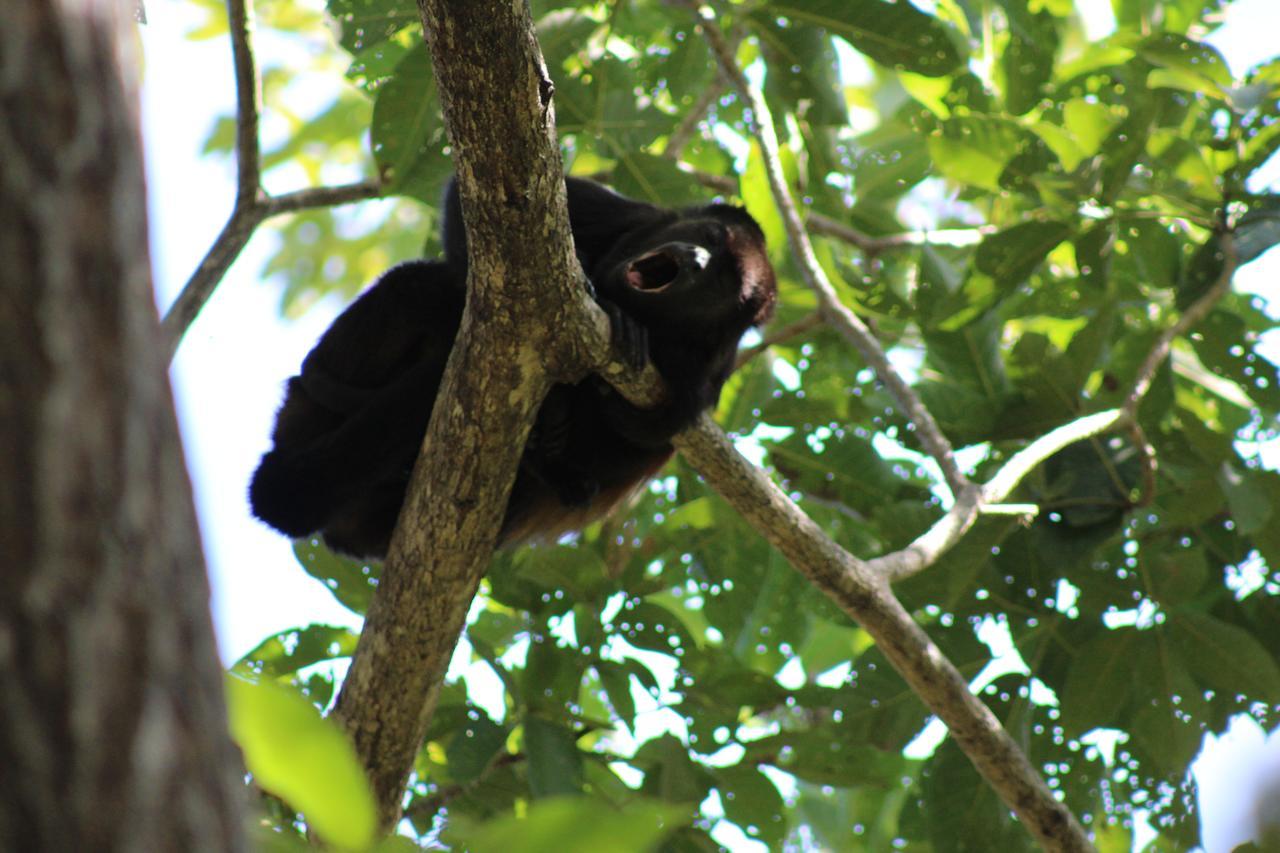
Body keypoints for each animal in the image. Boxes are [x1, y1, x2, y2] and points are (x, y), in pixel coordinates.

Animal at [245, 175, 773, 555]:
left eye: (724, 280)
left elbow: (645, 434)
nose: (695, 258)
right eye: (708, 236)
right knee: (424, 284)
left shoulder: (710, 372)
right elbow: (471, 209)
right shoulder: (632, 214)